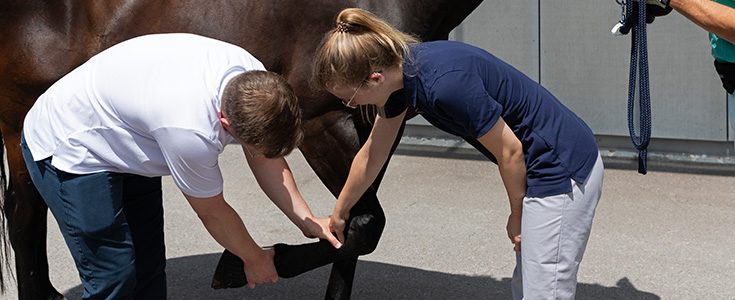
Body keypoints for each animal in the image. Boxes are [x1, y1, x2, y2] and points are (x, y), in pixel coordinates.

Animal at [0, 1, 484, 298]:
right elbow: (361, 225)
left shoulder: (378, 124)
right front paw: (240, 266)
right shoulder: (322, 123)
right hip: (18, 120)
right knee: (23, 213)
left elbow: (353, 226)